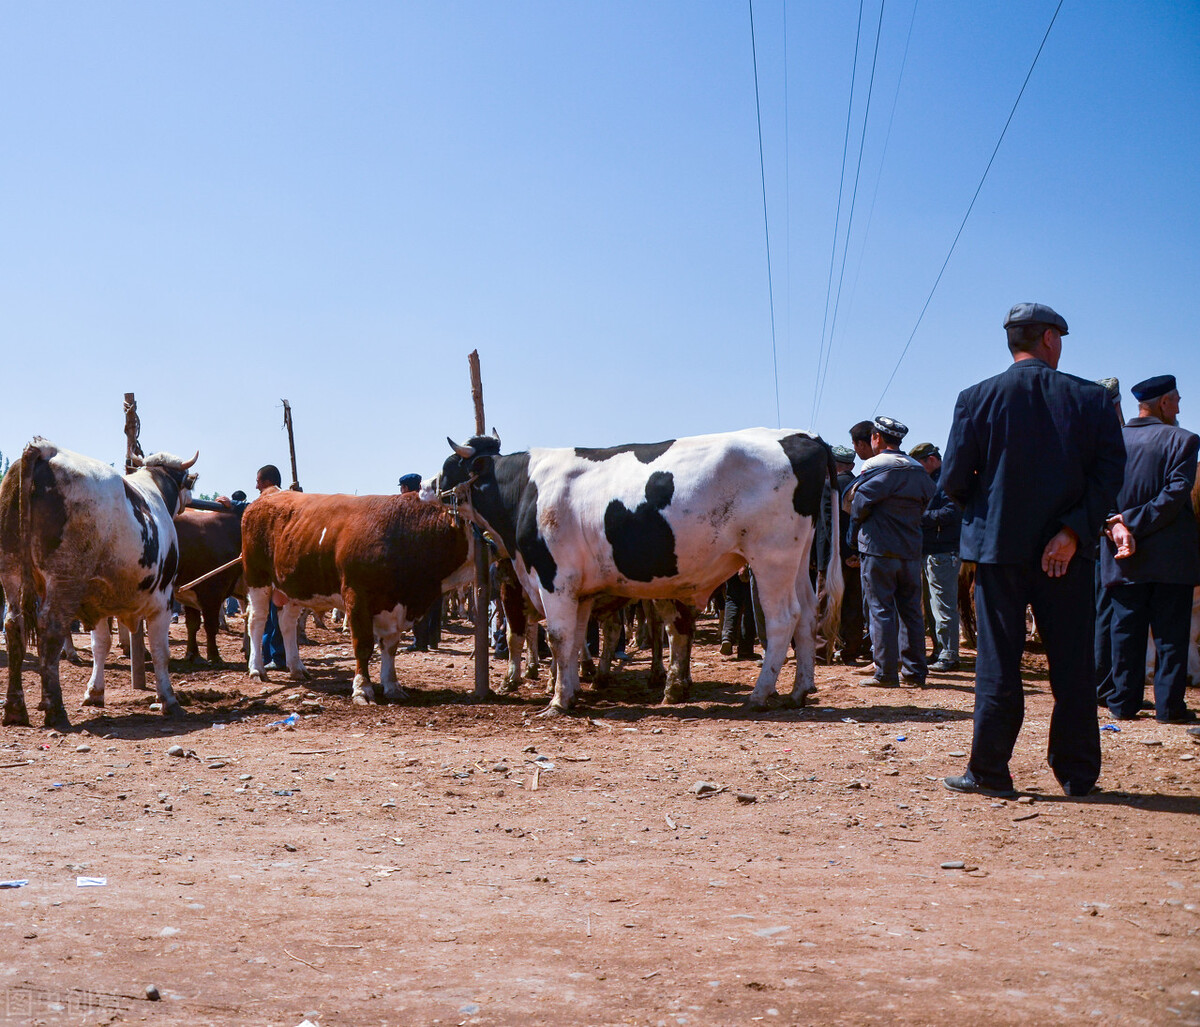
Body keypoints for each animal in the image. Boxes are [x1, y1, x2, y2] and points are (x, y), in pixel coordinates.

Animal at [0, 436, 196, 724]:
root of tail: (46, 449)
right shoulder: (163, 600)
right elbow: (161, 651)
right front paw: (169, 699)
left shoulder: (97, 601)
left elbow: (100, 646)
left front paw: (94, 692)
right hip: (64, 580)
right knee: (51, 629)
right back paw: (54, 707)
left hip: (11, 572)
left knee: (15, 626)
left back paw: (15, 708)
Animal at [240, 491, 468, 705]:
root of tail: (267, 496)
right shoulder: (357, 598)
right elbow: (363, 645)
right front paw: (362, 689)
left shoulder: (393, 606)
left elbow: (390, 646)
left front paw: (393, 686)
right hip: (257, 578)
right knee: (257, 621)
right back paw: (257, 669)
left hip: (294, 588)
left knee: (287, 623)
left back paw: (297, 668)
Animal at [441, 427, 844, 715]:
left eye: (447, 468)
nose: (430, 489)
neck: (528, 486)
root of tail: (802, 436)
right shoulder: (579, 590)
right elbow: (574, 640)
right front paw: (570, 692)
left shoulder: (554, 578)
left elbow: (557, 637)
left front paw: (556, 703)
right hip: (798, 560)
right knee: (808, 615)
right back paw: (799, 690)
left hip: (771, 559)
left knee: (783, 620)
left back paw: (760, 694)